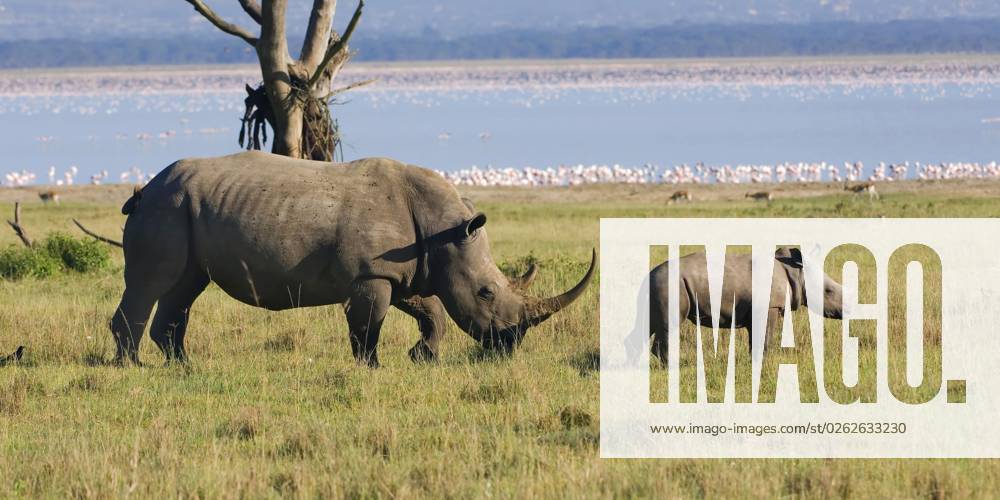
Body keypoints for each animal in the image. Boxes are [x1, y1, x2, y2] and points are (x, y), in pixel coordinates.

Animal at [110, 151, 594, 367]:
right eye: (486, 292)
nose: (510, 345)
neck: (443, 228)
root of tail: (145, 189)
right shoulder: (370, 274)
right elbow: (368, 326)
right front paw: (372, 368)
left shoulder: (406, 270)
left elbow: (432, 311)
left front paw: (422, 357)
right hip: (166, 209)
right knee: (152, 284)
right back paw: (132, 367)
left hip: (183, 210)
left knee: (185, 287)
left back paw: (182, 366)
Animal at [648, 247, 843, 362]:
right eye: (828, 291)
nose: (846, 310)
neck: (796, 273)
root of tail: (649, 275)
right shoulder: (769, 307)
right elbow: (764, 338)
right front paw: (762, 364)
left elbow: (756, 339)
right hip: (668, 284)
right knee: (669, 326)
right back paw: (672, 367)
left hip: (661, 284)